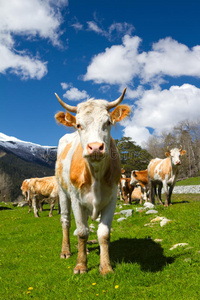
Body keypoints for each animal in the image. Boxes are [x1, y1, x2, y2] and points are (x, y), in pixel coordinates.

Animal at [54, 88, 130, 276]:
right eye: (79, 125)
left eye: (108, 122)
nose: (95, 147)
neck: (95, 174)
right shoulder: (76, 199)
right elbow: (81, 232)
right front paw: (81, 265)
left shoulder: (112, 199)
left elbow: (103, 234)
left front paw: (106, 267)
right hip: (62, 192)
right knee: (66, 221)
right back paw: (66, 251)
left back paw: (86, 250)